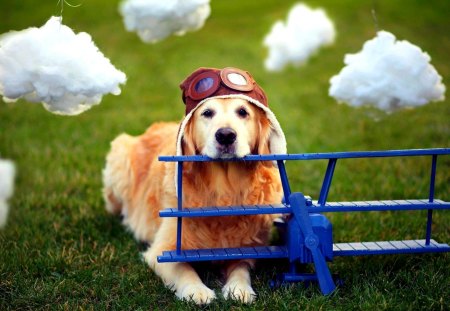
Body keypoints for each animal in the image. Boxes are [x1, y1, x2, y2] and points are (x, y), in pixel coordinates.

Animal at [102, 67, 286, 304]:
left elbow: (241, 266)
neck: (223, 191)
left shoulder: (249, 245)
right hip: (119, 155)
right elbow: (183, 268)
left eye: (243, 112)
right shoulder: (163, 248)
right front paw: (196, 290)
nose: (225, 135)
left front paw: (239, 288)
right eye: (207, 113)